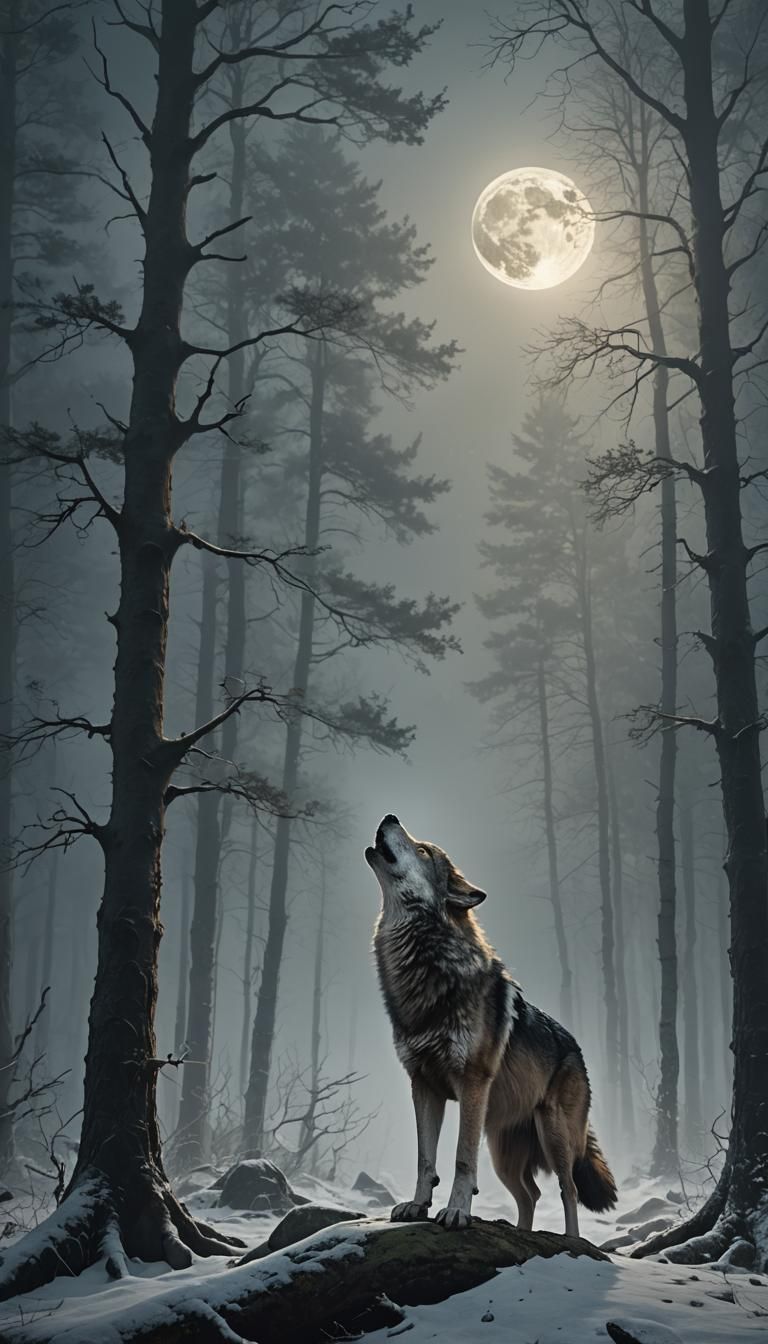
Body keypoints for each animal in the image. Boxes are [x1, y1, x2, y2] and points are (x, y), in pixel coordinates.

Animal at [365, 814, 617, 1236]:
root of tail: (576, 1050)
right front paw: (417, 1207)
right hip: (504, 1153)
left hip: (554, 1135)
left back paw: (572, 1241)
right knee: (530, 1194)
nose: (390, 817)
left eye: (423, 850)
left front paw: (456, 1212)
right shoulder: (423, 1085)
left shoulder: (472, 1082)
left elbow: (462, 1158)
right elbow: (425, 1159)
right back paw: (522, 1233)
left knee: (566, 1189)